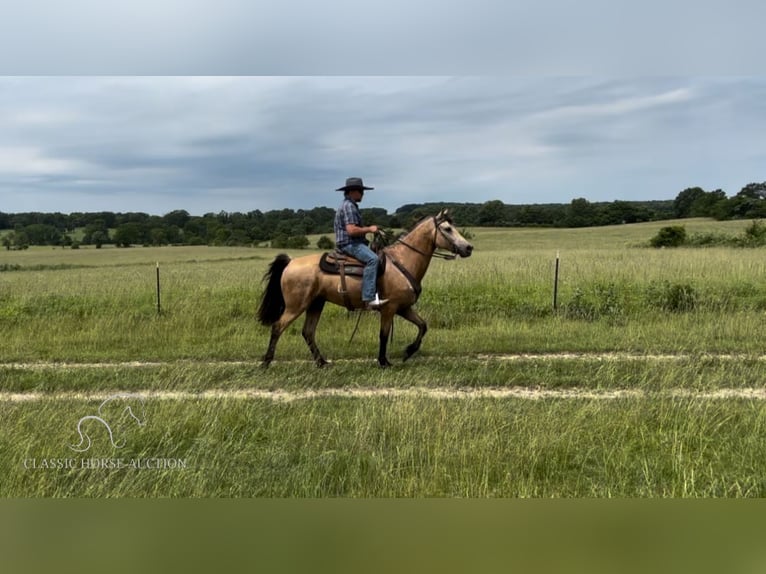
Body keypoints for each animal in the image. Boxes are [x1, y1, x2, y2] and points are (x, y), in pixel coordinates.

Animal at [258, 210, 474, 368]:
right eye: (447, 228)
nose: (468, 248)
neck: (403, 261)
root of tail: (290, 262)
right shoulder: (389, 309)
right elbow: (384, 335)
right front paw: (384, 362)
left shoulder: (403, 308)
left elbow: (423, 326)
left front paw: (408, 351)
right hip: (296, 305)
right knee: (278, 327)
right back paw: (267, 362)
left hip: (316, 304)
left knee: (308, 332)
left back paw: (322, 362)